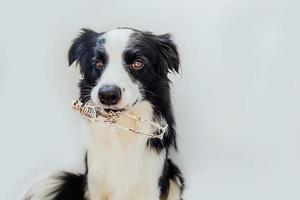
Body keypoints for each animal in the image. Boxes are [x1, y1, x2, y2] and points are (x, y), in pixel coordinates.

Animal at [25, 27, 184, 200]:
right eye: (98, 63)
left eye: (138, 63)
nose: (108, 95)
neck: (120, 127)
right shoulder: (96, 180)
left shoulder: (149, 182)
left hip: (175, 178)